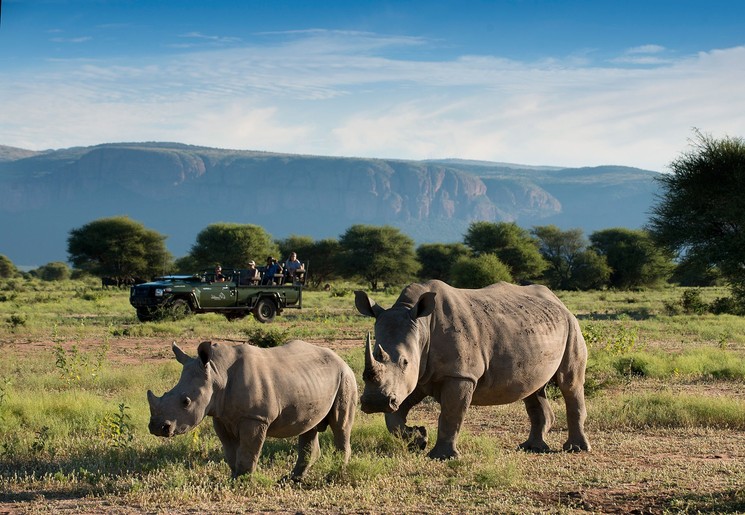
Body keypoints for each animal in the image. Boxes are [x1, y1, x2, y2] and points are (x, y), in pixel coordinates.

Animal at [147, 340, 356, 482]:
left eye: (186, 402)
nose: (157, 427)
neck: (217, 372)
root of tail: (341, 359)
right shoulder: (221, 416)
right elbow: (230, 451)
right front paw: (233, 478)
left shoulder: (256, 418)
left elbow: (248, 451)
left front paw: (243, 481)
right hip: (312, 380)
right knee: (309, 427)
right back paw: (291, 480)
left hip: (345, 376)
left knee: (341, 426)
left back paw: (333, 476)